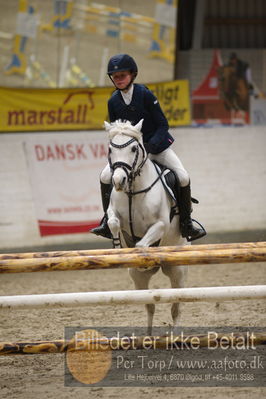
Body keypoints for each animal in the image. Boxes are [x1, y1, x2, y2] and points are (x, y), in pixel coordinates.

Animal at [104, 119, 187, 334]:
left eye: (134, 148)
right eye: (110, 149)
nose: (118, 181)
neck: (134, 189)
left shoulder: (159, 225)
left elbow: (141, 245)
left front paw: (144, 257)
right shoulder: (113, 212)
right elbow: (113, 222)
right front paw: (117, 246)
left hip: (177, 271)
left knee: (176, 307)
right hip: (137, 279)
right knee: (149, 305)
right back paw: (148, 337)